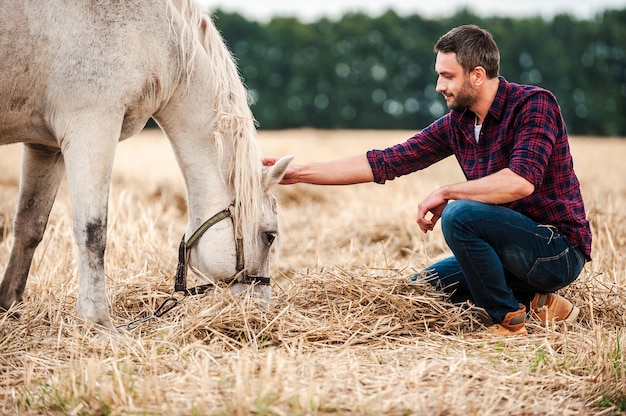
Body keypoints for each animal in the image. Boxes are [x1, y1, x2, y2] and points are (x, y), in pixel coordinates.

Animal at [0, 0, 292, 332]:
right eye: (270, 236)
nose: (261, 309)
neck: (163, 40)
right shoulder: (92, 125)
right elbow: (93, 231)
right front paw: (98, 321)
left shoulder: (46, 146)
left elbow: (30, 226)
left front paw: (10, 307)